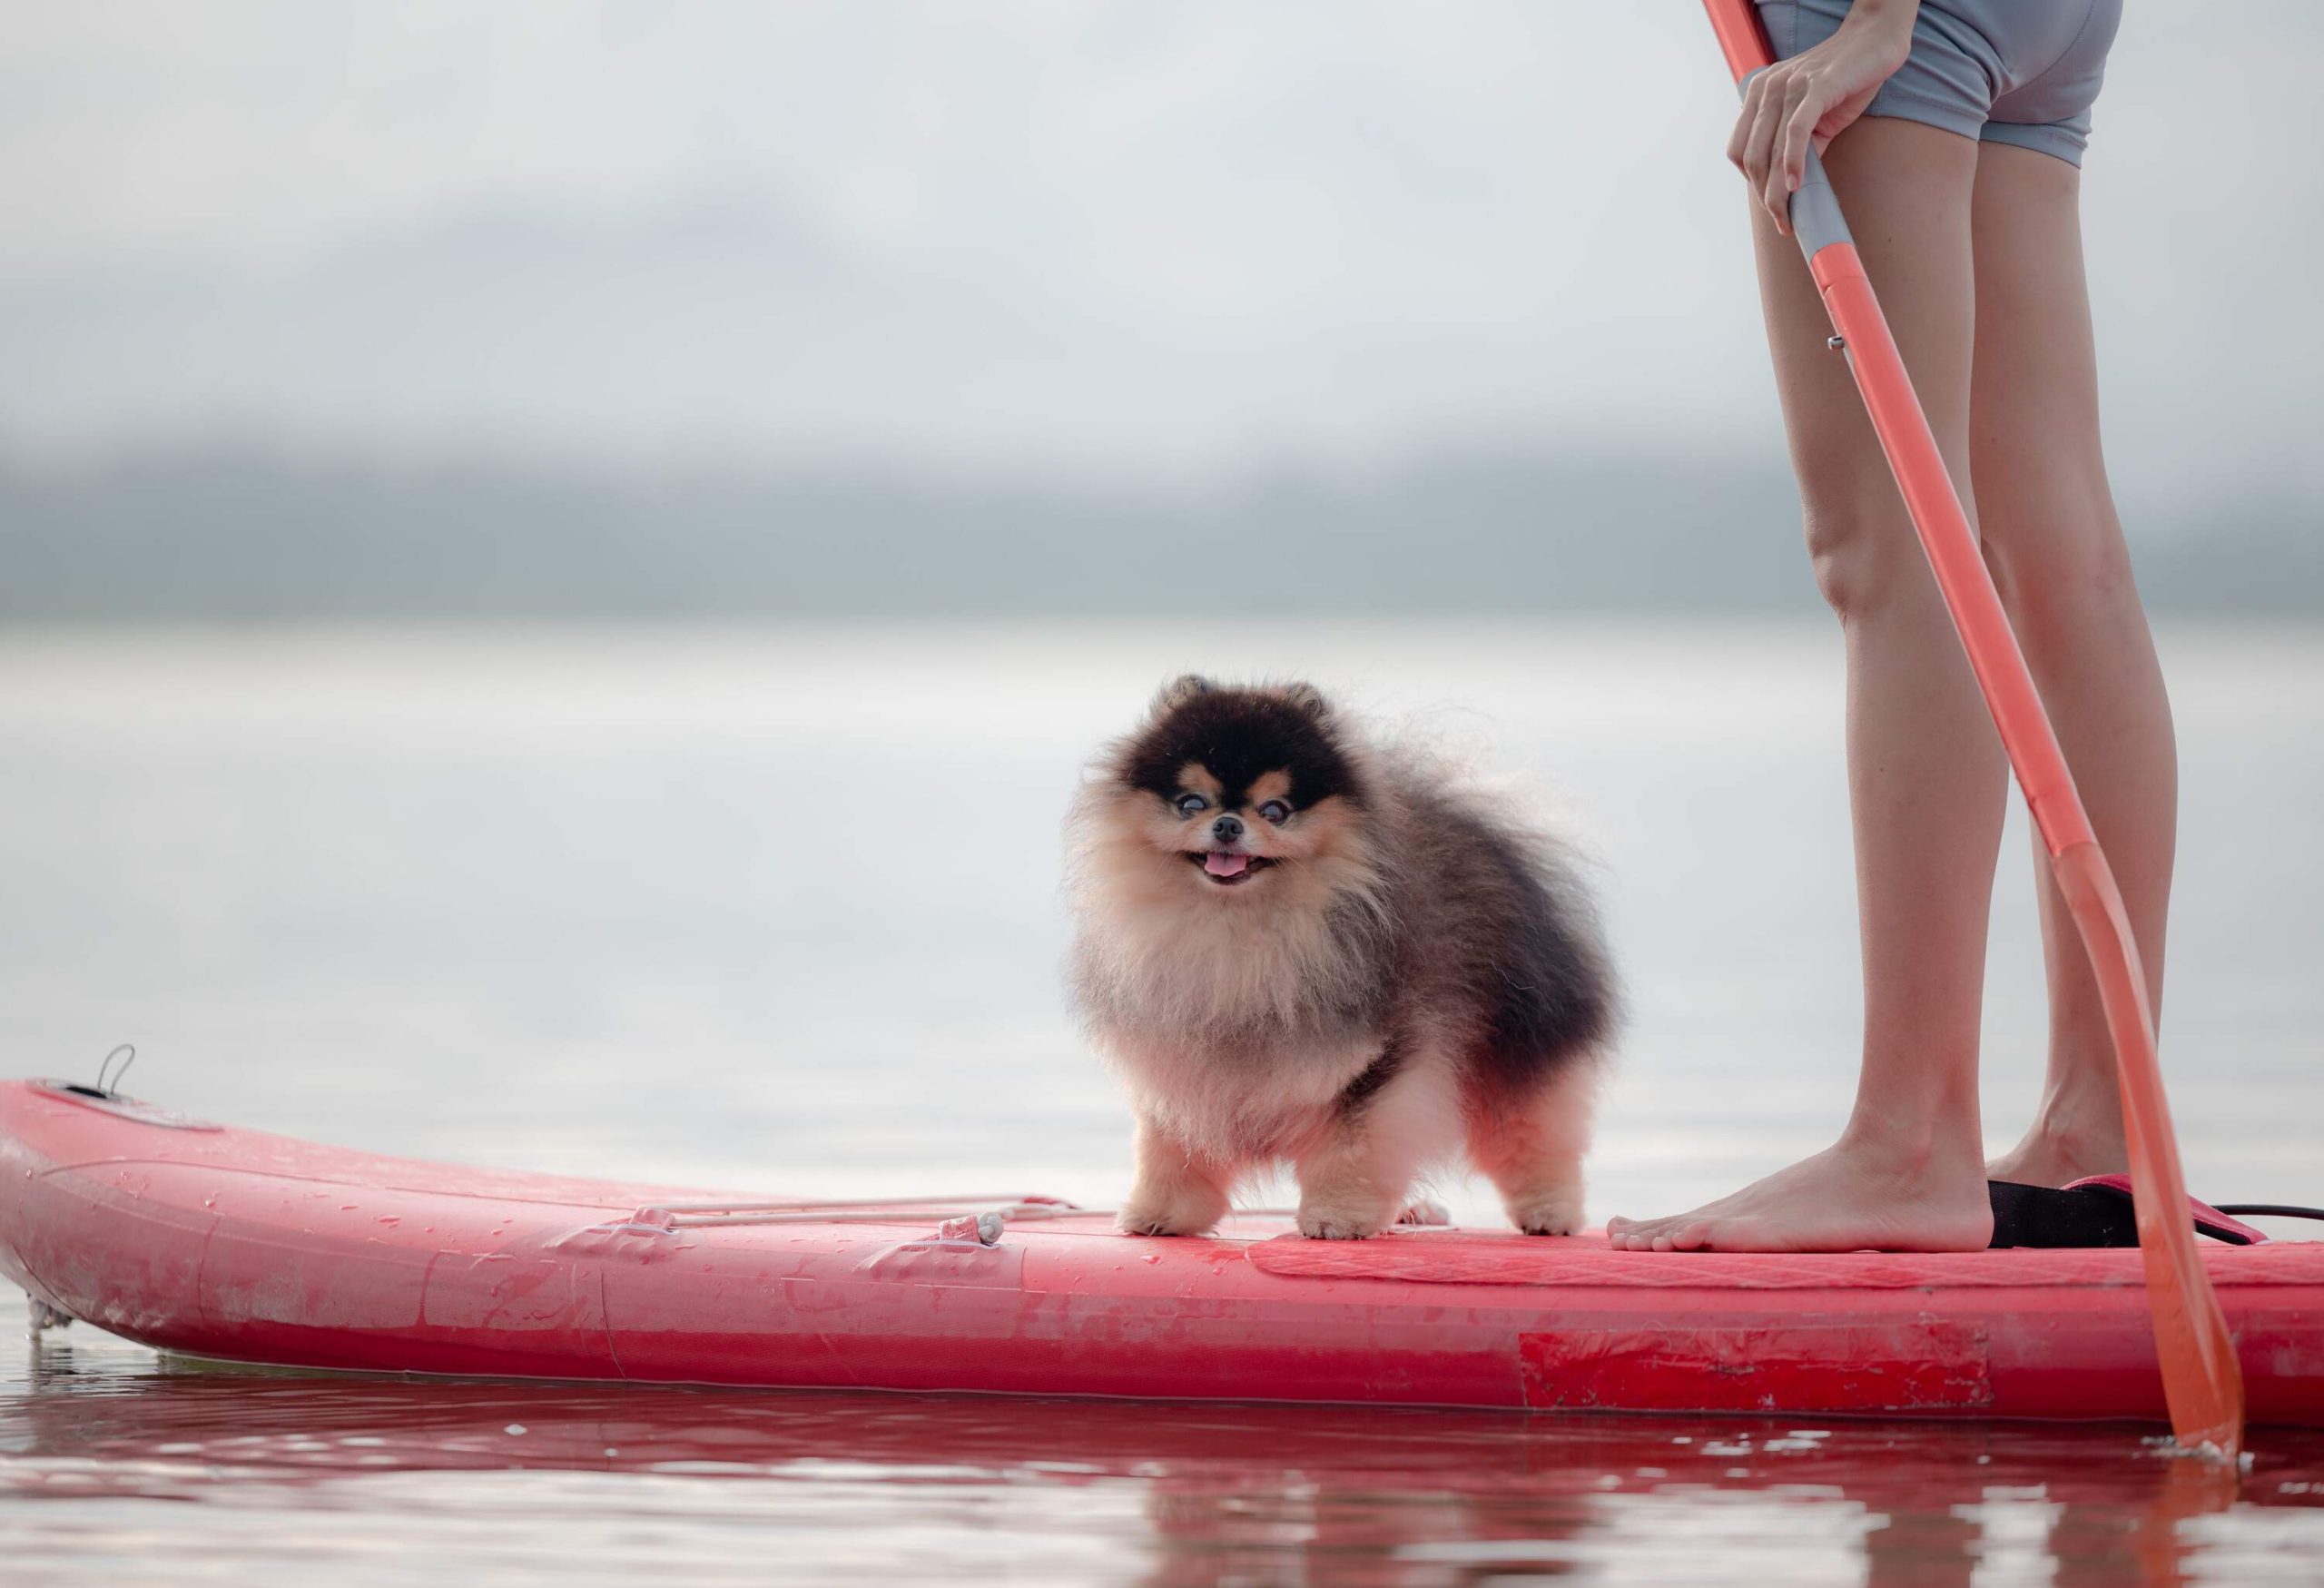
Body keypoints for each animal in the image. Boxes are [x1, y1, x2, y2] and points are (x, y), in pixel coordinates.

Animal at [1064, 674, 1617, 1246]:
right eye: (1191, 803)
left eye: (1276, 810)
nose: (1228, 825)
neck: (1237, 933)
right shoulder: (1183, 1063)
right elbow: (1169, 1149)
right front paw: (1162, 1213)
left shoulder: (1375, 1061)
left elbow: (1351, 1148)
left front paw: (1338, 1217)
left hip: (1516, 1039)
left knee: (1531, 1133)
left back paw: (1549, 1212)